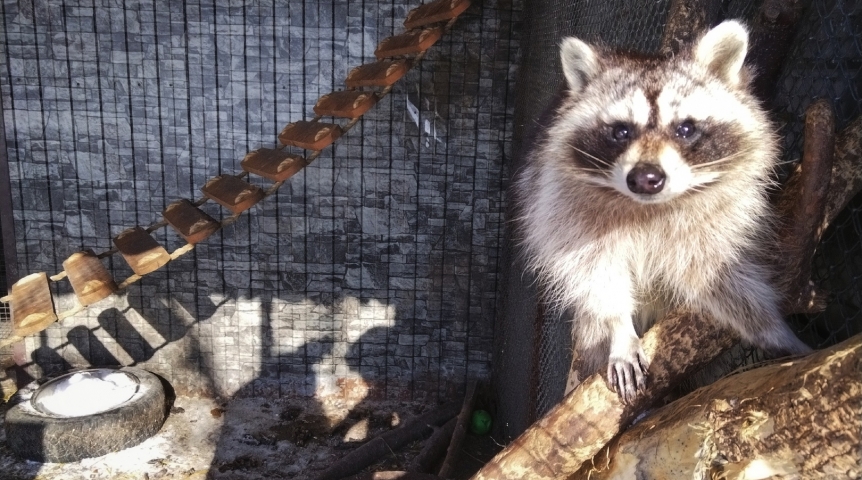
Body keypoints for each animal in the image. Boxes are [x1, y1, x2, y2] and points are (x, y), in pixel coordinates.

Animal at [516, 21, 812, 404]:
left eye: (685, 128)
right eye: (621, 131)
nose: (645, 178)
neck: (651, 207)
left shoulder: (723, 220)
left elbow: (724, 276)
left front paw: (768, 325)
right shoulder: (561, 208)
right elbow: (597, 274)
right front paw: (620, 329)